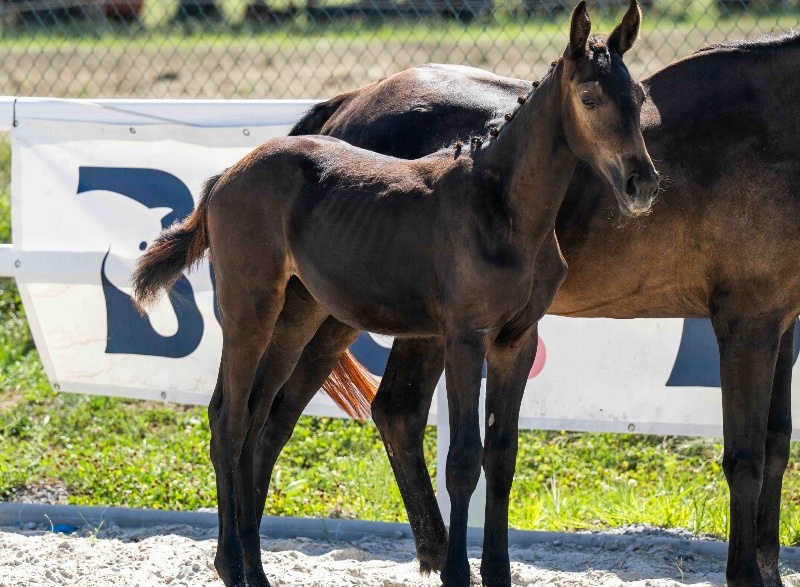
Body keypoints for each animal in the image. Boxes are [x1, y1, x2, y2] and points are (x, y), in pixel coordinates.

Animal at [132, 2, 657, 585]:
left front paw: (497, 572)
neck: (504, 208)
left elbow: (502, 456)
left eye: (638, 98)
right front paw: (456, 572)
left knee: (259, 416)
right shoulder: (464, 339)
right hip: (251, 310)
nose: (642, 185)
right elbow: (463, 459)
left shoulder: (516, 341)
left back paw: (254, 566)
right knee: (230, 417)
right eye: (589, 98)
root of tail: (226, 175)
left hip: (298, 315)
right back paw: (231, 565)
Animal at [252, 26, 800, 587]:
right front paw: (747, 573)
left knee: (393, 412)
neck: (766, 124)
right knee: (279, 412)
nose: (642, 185)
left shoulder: (783, 322)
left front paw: (769, 569)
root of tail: (349, 104)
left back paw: (439, 555)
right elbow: (746, 456)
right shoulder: (745, 322)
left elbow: (777, 443)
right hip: (338, 314)